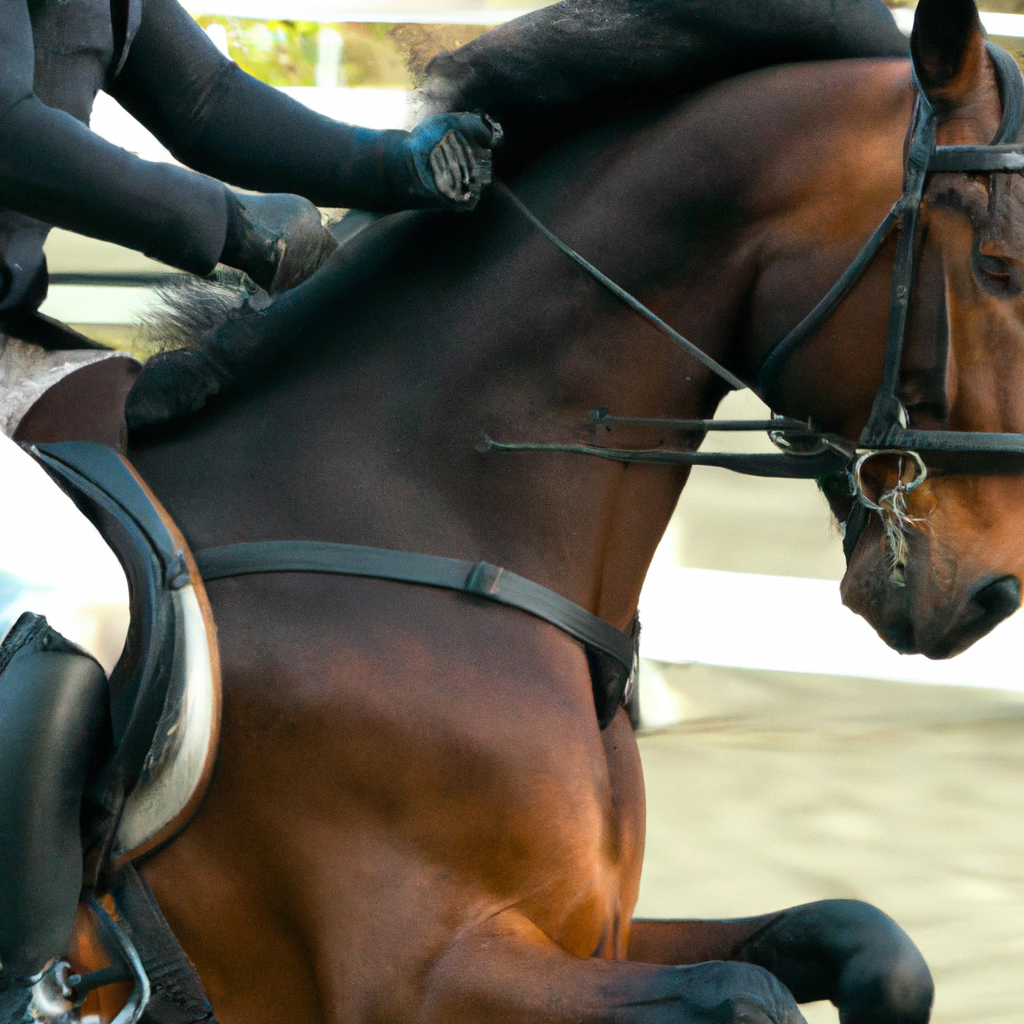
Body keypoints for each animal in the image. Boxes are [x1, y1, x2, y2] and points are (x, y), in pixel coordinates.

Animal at [117, 0, 1015, 1019]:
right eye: (998, 265)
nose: (992, 594)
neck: (422, 515)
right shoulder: (426, 978)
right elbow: (748, 993)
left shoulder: (600, 929)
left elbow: (869, 942)